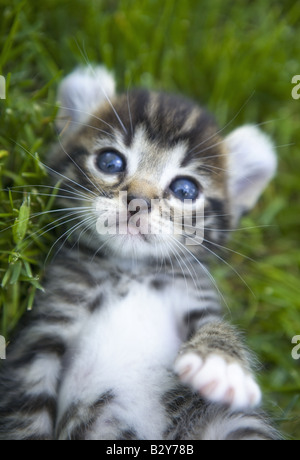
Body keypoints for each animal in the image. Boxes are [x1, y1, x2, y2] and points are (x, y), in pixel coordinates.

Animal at [0, 66, 278, 440]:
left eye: (185, 189)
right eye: (110, 161)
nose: (138, 201)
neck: (131, 271)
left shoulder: (194, 295)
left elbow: (218, 325)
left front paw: (222, 363)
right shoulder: (45, 327)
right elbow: (26, 413)